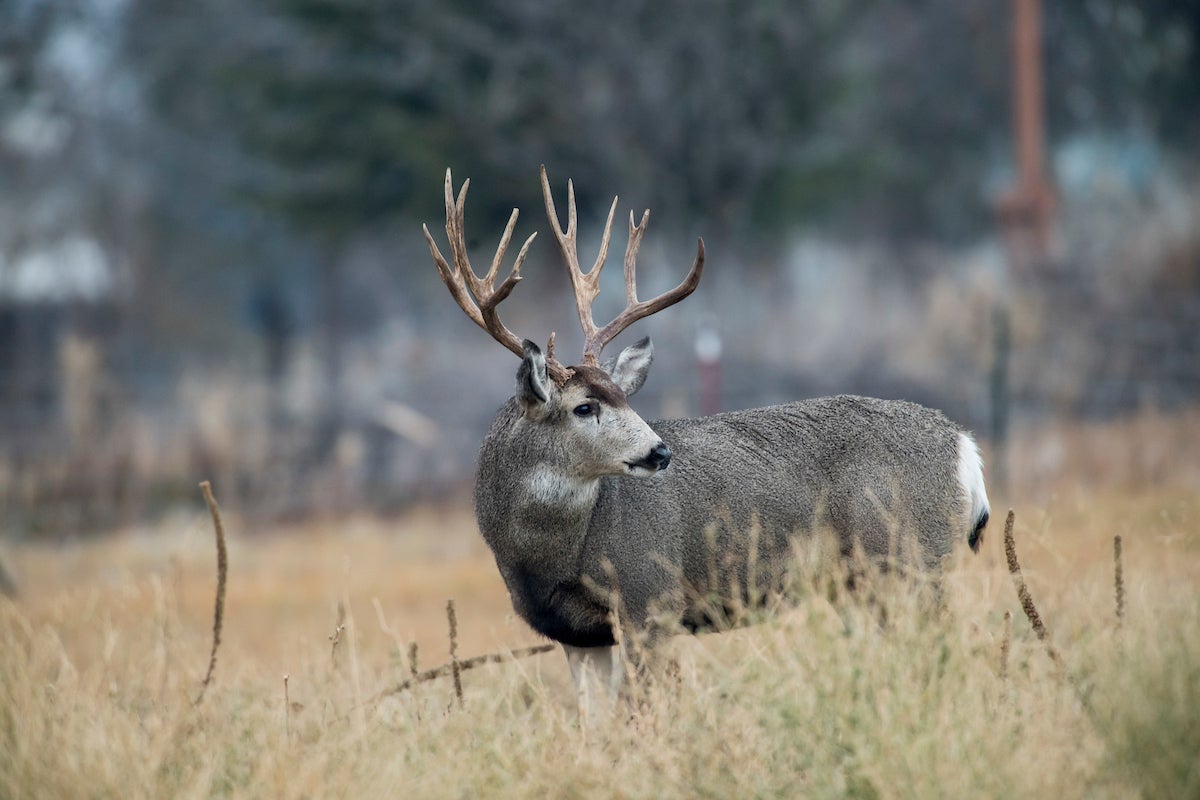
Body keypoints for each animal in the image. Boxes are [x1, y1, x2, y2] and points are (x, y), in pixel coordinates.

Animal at [423, 166, 991, 711]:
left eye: (625, 398)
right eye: (585, 406)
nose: (659, 451)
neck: (548, 556)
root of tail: (964, 447)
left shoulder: (650, 601)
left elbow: (645, 712)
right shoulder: (578, 635)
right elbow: (593, 723)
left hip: (911, 560)